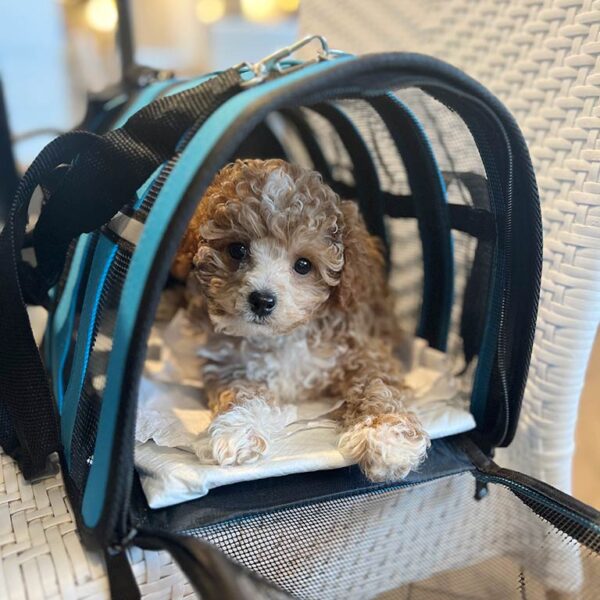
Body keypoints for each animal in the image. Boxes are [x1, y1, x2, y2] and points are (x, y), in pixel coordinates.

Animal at [171, 157, 428, 480]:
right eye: (237, 249)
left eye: (303, 265)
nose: (262, 300)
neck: (282, 337)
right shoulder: (226, 362)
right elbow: (242, 390)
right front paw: (238, 429)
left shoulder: (362, 349)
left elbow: (376, 381)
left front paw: (387, 436)